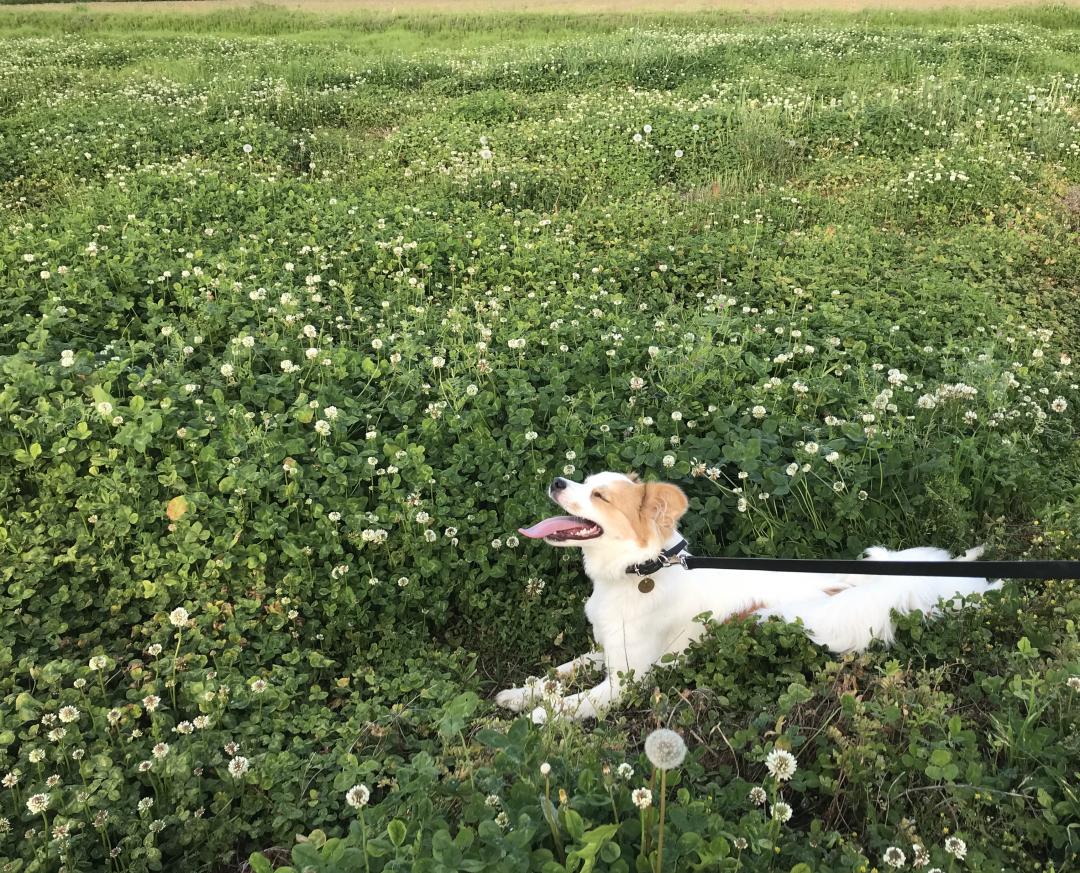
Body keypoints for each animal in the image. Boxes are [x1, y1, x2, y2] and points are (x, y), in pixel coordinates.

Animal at [494, 471, 997, 721]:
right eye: (582, 479)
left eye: (598, 495)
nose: (558, 481)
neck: (641, 573)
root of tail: (871, 581)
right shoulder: (608, 648)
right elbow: (560, 671)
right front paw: (521, 693)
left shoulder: (629, 680)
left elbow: (575, 700)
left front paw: (542, 714)